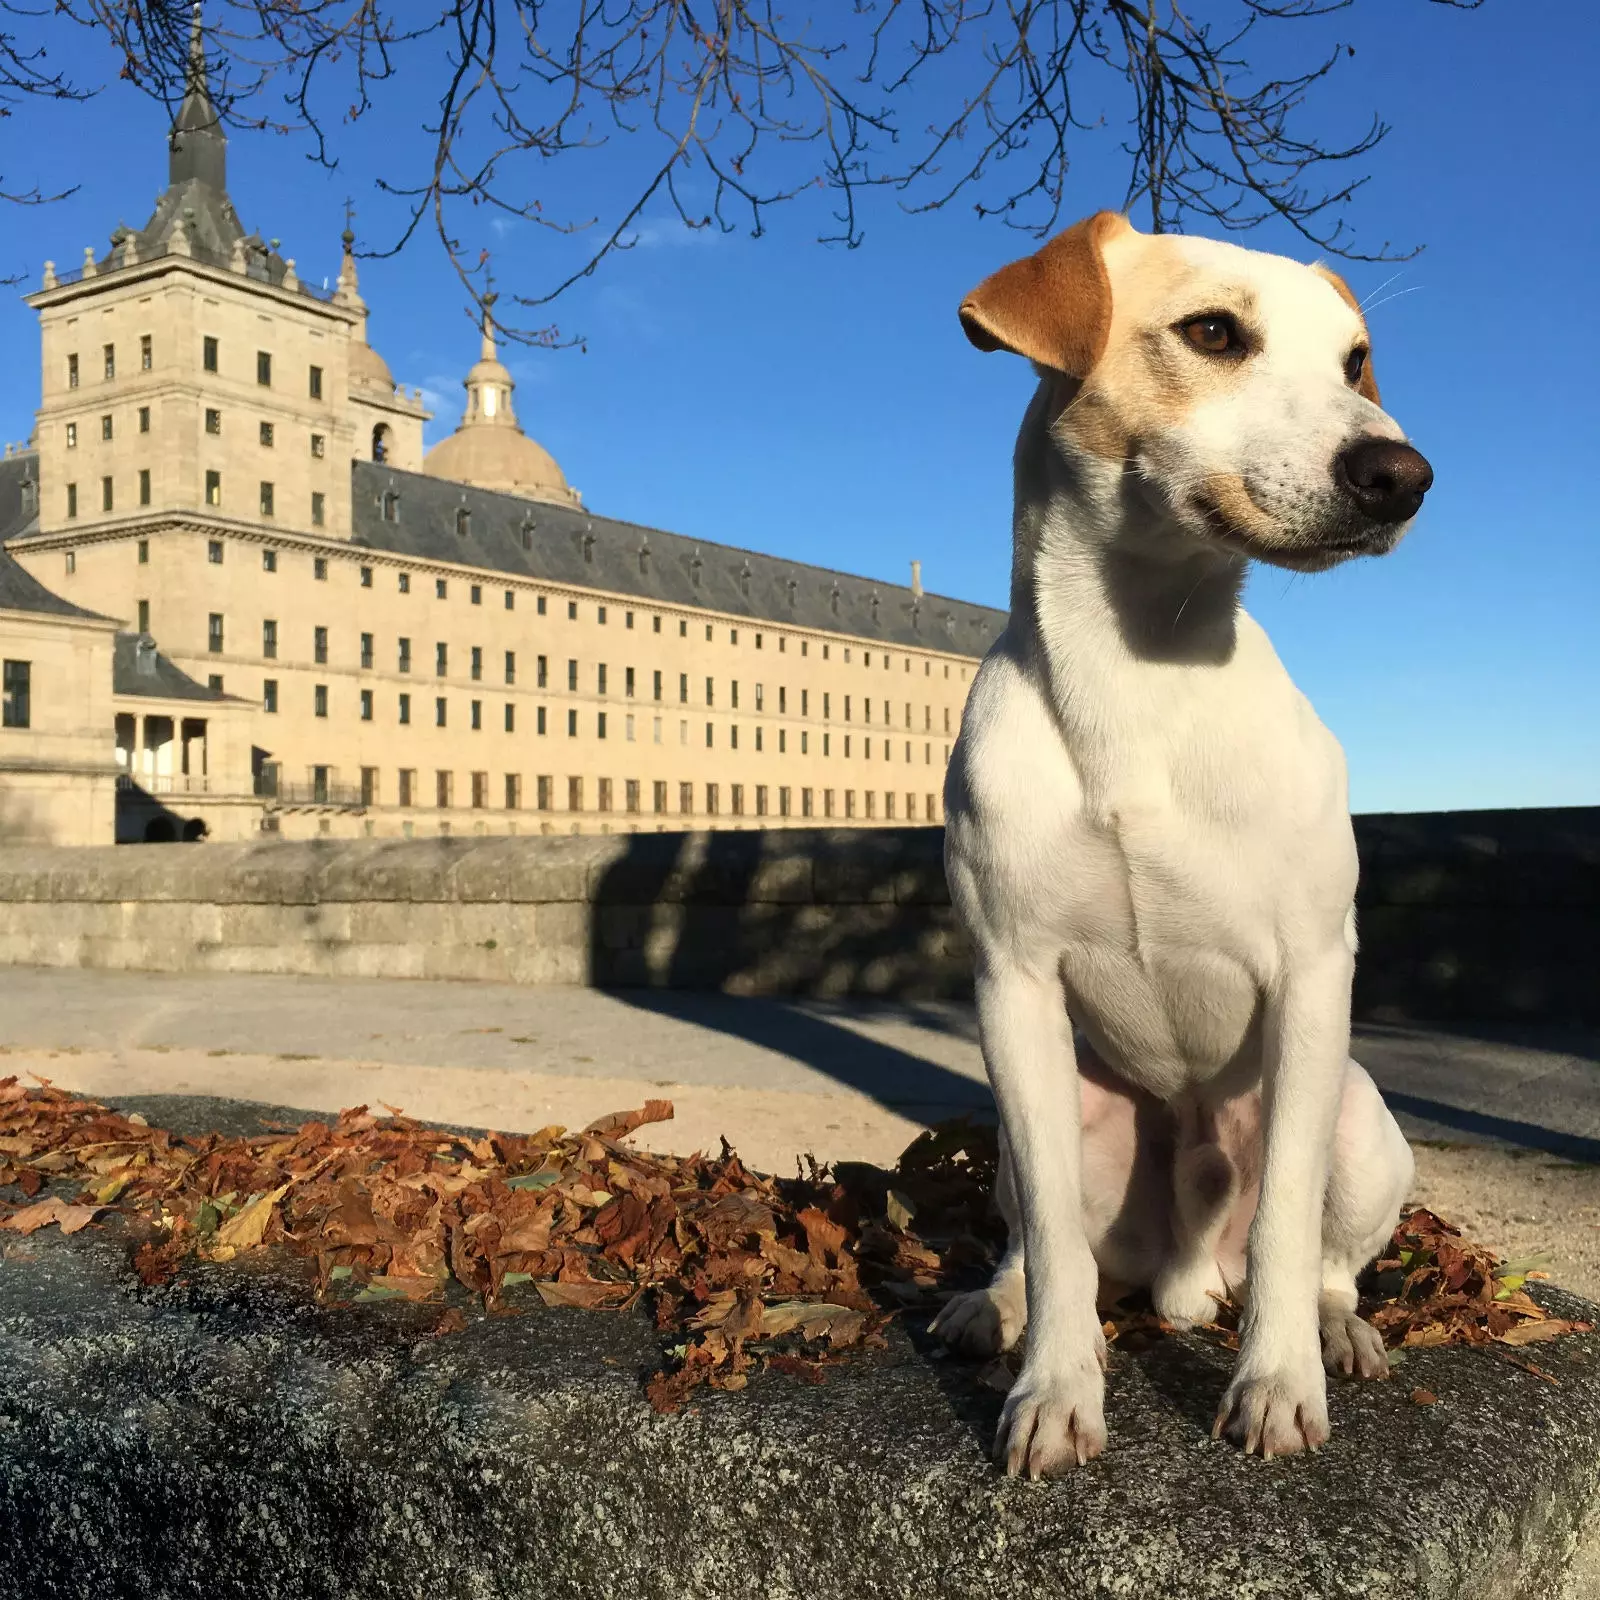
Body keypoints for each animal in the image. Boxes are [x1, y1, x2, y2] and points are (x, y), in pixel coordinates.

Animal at [934, 212, 1427, 1472]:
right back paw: (992, 1305)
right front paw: (1054, 1388)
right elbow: (1057, 1244)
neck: (1140, 673)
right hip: (1042, 1109)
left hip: (1360, 1117)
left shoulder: (1311, 973)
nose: (1402, 475)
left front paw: (1277, 1384)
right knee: (1039, 1237)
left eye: (1356, 361)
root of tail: (1180, 1270)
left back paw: (1333, 1331)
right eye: (1212, 332)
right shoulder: (1010, 984)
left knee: (1323, 1260)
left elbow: (1288, 1227)